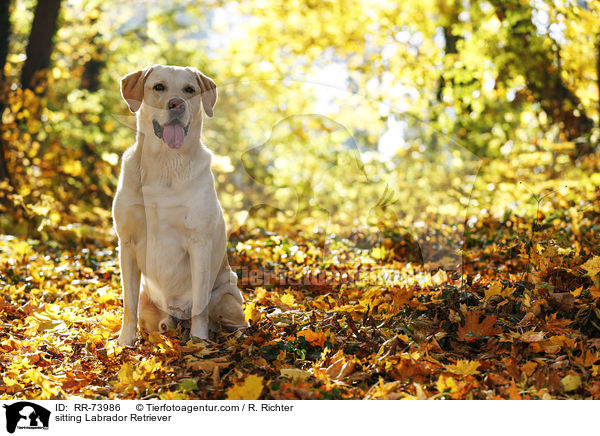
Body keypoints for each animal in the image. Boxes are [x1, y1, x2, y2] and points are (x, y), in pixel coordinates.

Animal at [113, 63, 247, 348]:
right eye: (159, 87)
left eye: (189, 89)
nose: (177, 104)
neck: (165, 163)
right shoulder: (126, 242)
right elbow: (128, 304)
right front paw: (124, 343)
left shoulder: (199, 242)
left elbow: (199, 305)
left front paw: (199, 343)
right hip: (149, 300)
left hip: (227, 297)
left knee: (235, 322)